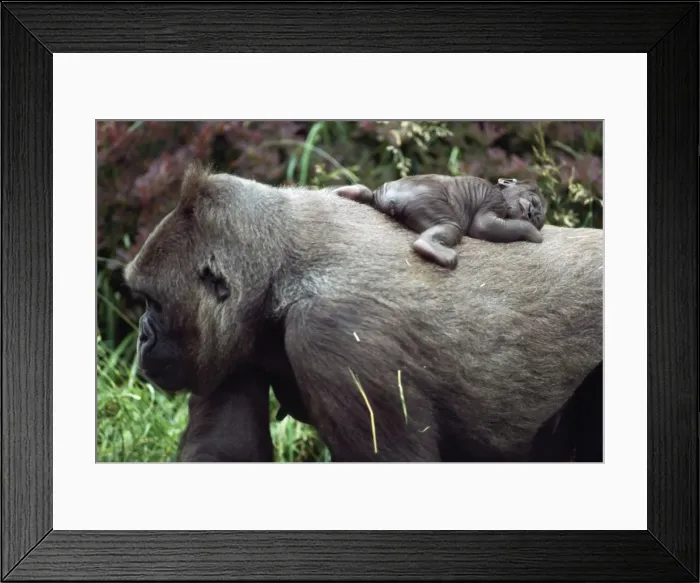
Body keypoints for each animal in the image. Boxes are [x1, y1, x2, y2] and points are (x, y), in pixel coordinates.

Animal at [332, 175, 547, 270]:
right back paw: (432, 248)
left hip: (384, 192)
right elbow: (483, 226)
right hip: (426, 202)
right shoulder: (495, 200)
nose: (531, 213)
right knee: (450, 227)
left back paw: (347, 192)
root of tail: (390, 198)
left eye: (538, 217)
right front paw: (532, 232)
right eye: (535, 201)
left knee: (368, 194)